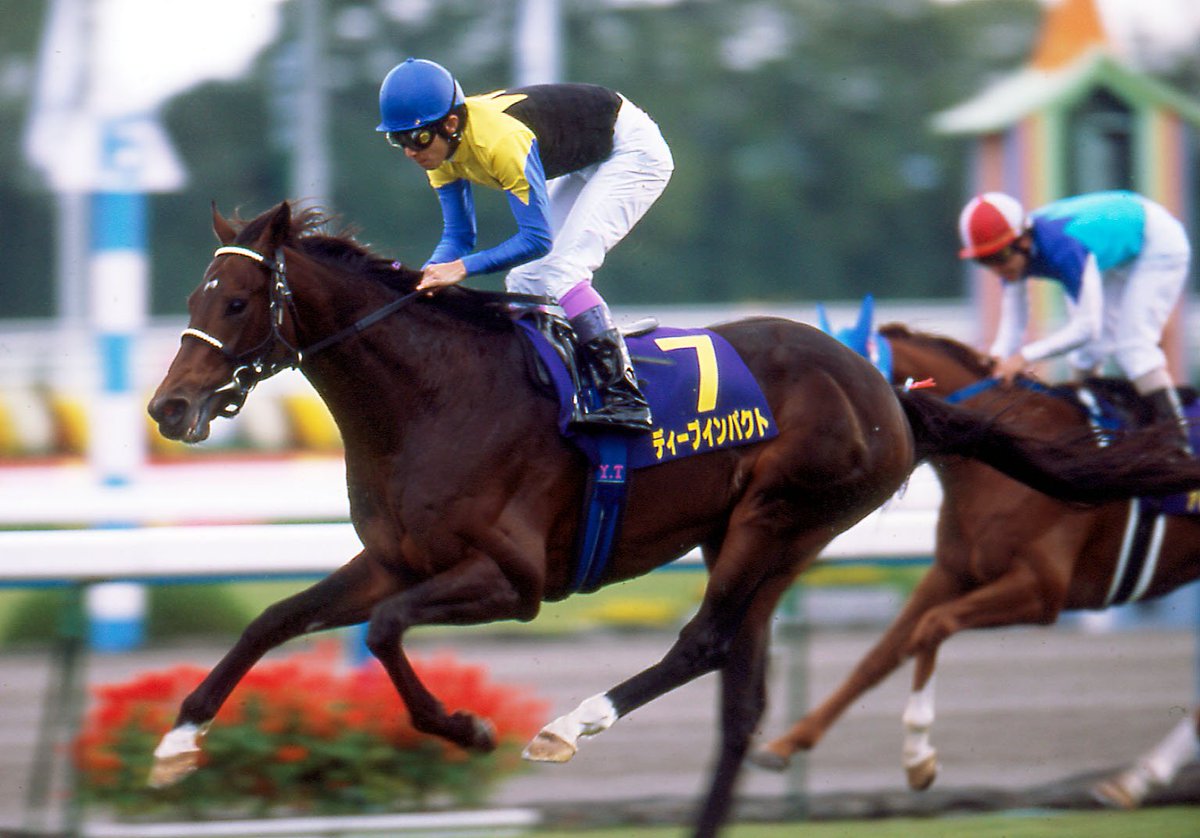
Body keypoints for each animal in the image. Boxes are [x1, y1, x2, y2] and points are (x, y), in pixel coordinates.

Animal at [753, 320, 1200, 809]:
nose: (773, 467)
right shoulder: (951, 571)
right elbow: (879, 655)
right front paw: (783, 745)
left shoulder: (1041, 590)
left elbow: (933, 626)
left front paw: (918, 758)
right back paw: (1134, 779)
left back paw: (1138, 778)